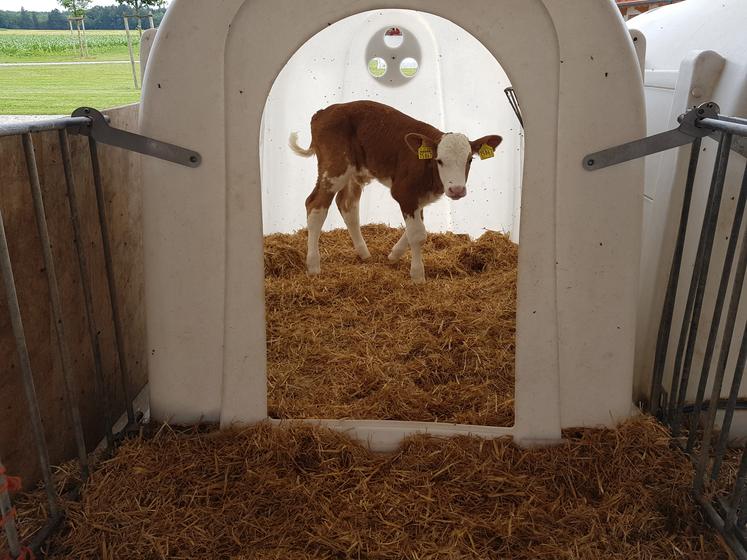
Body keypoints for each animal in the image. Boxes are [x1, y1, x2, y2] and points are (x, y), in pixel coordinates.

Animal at [286, 100, 502, 282]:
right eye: (439, 160)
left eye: (470, 160)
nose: (456, 189)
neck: (426, 169)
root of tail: (324, 112)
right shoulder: (403, 192)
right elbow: (418, 234)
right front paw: (418, 276)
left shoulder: (418, 199)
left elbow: (416, 228)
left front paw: (393, 255)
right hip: (334, 169)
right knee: (315, 206)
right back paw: (314, 266)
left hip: (354, 172)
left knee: (347, 206)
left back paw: (364, 254)